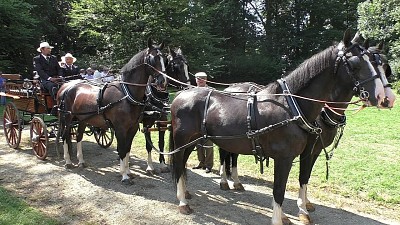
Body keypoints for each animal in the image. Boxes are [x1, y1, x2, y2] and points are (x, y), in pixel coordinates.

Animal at [57, 37, 166, 184]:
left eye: (164, 58)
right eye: (152, 59)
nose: (163, 81)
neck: (127, 93)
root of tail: (66, 87)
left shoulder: (132, 127)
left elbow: (127, 148)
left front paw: (128, 171)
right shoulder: (120, 128)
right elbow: (122, 149)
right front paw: (124, 175)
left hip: (82, 120)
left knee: (79, 137)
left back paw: (81, 161)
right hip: (67, 118)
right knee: (64, 136)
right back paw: (68, 162)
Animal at [168, 30, 384, 225]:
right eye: (355, 64)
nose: (383, 97)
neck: (291, 106)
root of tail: (181, 95)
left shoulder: (304, 153)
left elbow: (297, 181)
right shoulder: (284, 158)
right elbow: (279, 190)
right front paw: (283, 218)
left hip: (193, 140)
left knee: (184, 164)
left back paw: (187, 193)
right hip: (182, 139)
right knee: (178, 163)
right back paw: (182, 202)